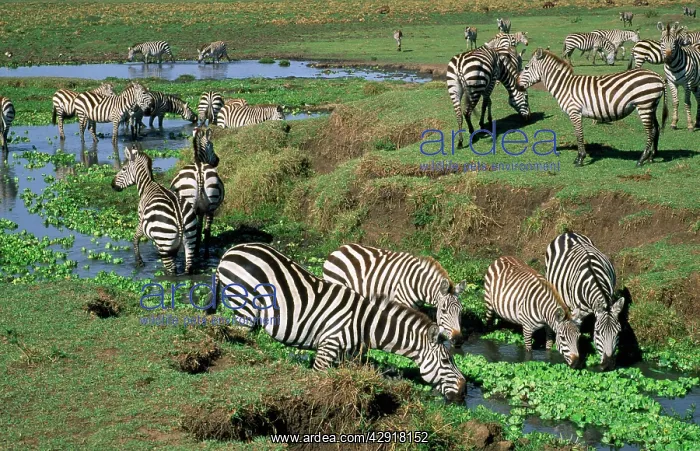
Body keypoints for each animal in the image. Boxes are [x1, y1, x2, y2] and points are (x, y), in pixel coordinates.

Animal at [111, 145, 198, 275]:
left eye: (123, 169)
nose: (112, 185)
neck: (147, 185)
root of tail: (179, 215)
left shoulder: (141, 220)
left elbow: (135, 238)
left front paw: (139, 262)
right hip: (190, 238)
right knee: (188, 267)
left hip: (164, 241)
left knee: (172, 271)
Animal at [170, 127, 224, 258]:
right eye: (212, 145)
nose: (217, 160)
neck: (199, 161)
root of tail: (199, 170)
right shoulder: (201, 210)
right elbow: (200, 229)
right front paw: (198, 248)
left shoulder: (199, 210)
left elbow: (198, 229)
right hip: (211, 205)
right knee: (207, 230)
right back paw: (205, 255)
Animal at [322, 243, 468, 344]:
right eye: (443, 311)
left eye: (460, 310)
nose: (458, 340)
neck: (417, 282)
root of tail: (339, 249)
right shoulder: (401, 301)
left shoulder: (416, 306)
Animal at [517, 48, 667, 166]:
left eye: (526, 68)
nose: (517, 85)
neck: (564, 86)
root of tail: (658, 77)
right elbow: (578, 134)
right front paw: (579, 157)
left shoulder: (574, 111)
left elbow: (579, 134)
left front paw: (580, 159)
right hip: (652, 105)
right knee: (656, 128)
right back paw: (651, 157)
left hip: (644, 104)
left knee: (650, 131)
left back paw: (641, 160)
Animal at [545, 233, 625, 371]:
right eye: (598, 332)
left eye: (618, 332)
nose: (608, 364)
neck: (594, 278)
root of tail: (568, 233)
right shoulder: (577, 311)